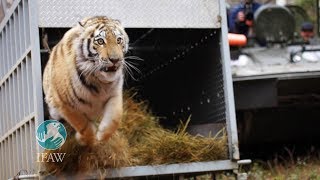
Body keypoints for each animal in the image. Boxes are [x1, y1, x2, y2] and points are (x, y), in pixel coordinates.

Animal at [43, 16, 129, 146]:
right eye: (100, 41)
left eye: (119, 40)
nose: (115, 59)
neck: (100, 82)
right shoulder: (64, 103)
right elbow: (82, 124)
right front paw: (87, 140)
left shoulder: (115, 94)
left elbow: (115, 117)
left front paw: (102, 136)